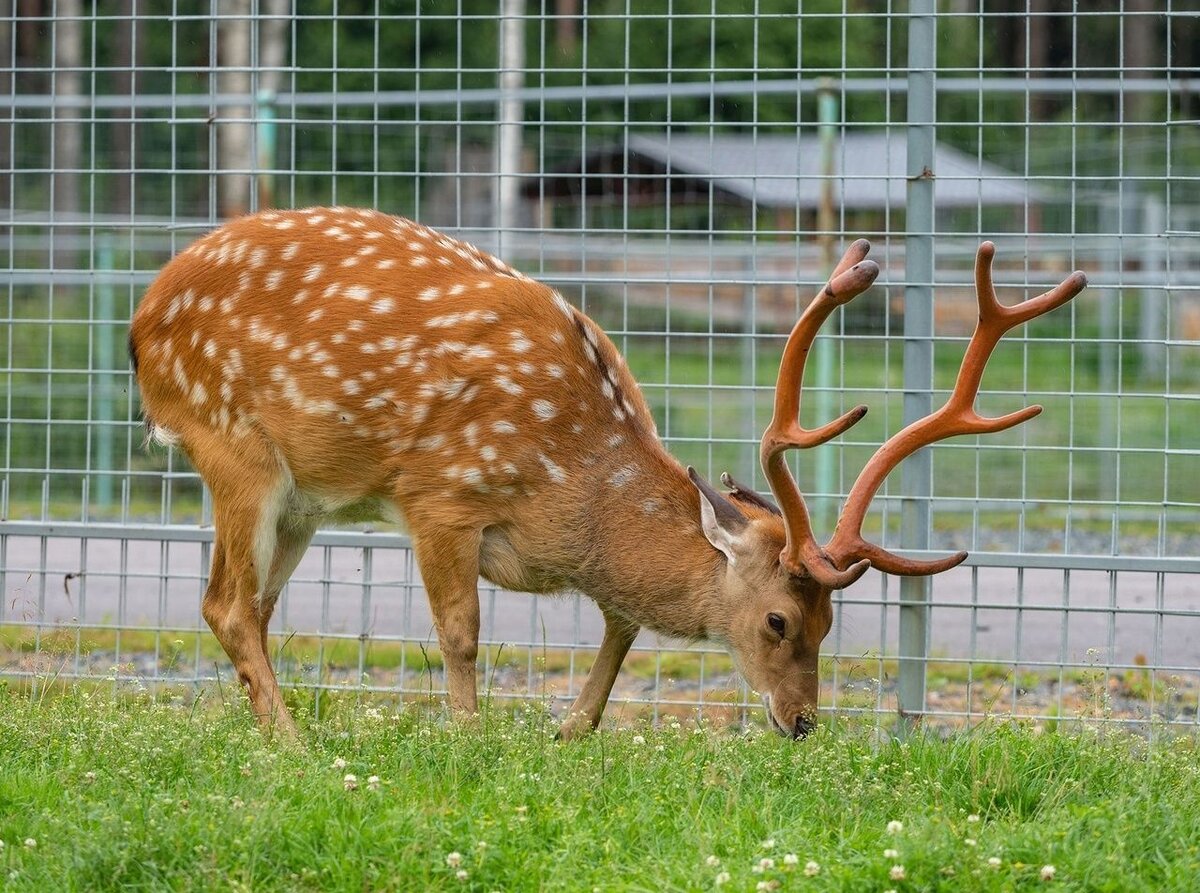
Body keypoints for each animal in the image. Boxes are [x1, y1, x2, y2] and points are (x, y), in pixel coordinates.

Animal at [131, 211, 1089, 739]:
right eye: (779, 618)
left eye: (831, 622)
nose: (804, 722)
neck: (571, 486)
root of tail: (141, 323)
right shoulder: (440, 494)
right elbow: (461, 632)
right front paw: (470, 740)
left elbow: (623, 626)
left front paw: (570, 728)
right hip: (232, 445)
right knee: (225, 604)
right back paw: (296, 746)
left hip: (302, 500)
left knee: (248, 606)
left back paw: (272, 732)